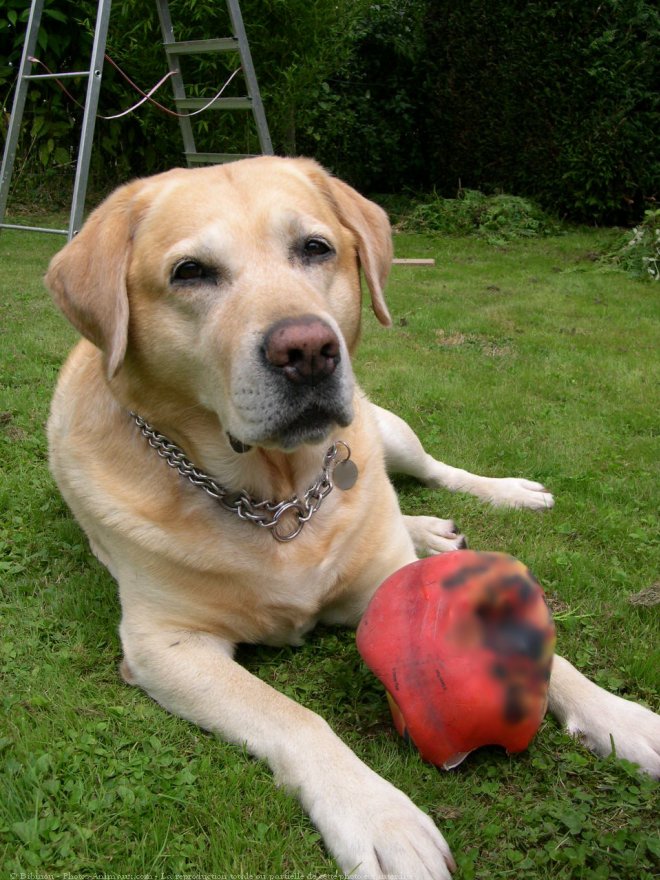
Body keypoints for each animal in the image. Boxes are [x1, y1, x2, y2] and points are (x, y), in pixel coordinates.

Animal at [46, 158, 660, 880]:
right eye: (190, 272)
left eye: (315, 248)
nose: (307, 349)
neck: (278, 495)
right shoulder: (165, 645)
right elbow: (293, 717)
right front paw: (379, 817)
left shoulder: (384, 580)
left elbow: (550, 658)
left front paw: (624, 718)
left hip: (388, 428)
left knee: (431, 471)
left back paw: (496, 496)